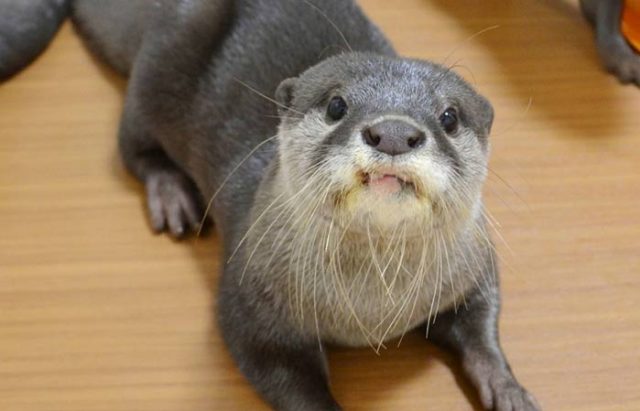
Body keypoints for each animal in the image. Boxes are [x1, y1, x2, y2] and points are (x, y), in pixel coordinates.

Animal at [0, 1, 540, 410]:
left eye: (449, 116)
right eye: (337, 105)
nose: (392, 132)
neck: (370, 311)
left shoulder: (473, 263)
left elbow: (483, 322)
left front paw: (509, 388)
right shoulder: (251, 305)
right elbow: (283, 374)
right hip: (161, 67)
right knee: (133, 145)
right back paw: (172, 195)